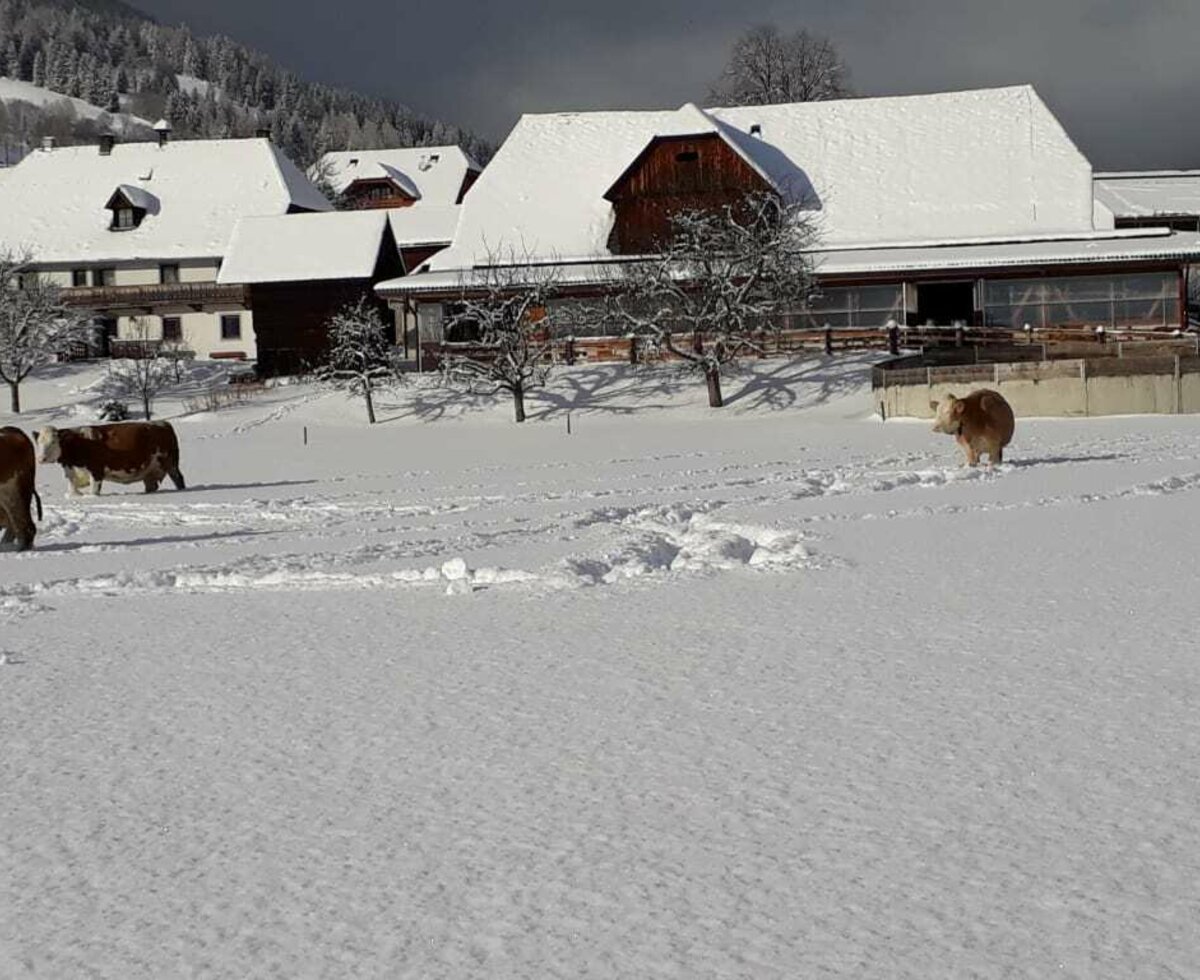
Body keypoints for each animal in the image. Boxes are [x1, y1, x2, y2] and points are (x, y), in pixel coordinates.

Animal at [36, 419, 184, 496]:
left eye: (53, 442)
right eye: (38, 442)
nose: (41, 458)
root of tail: (162, 423)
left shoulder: (96, 472)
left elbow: (94, 491)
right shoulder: (72, 474)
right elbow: (73, 490)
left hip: (171, 464)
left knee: (179, 480)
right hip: (150, 472)